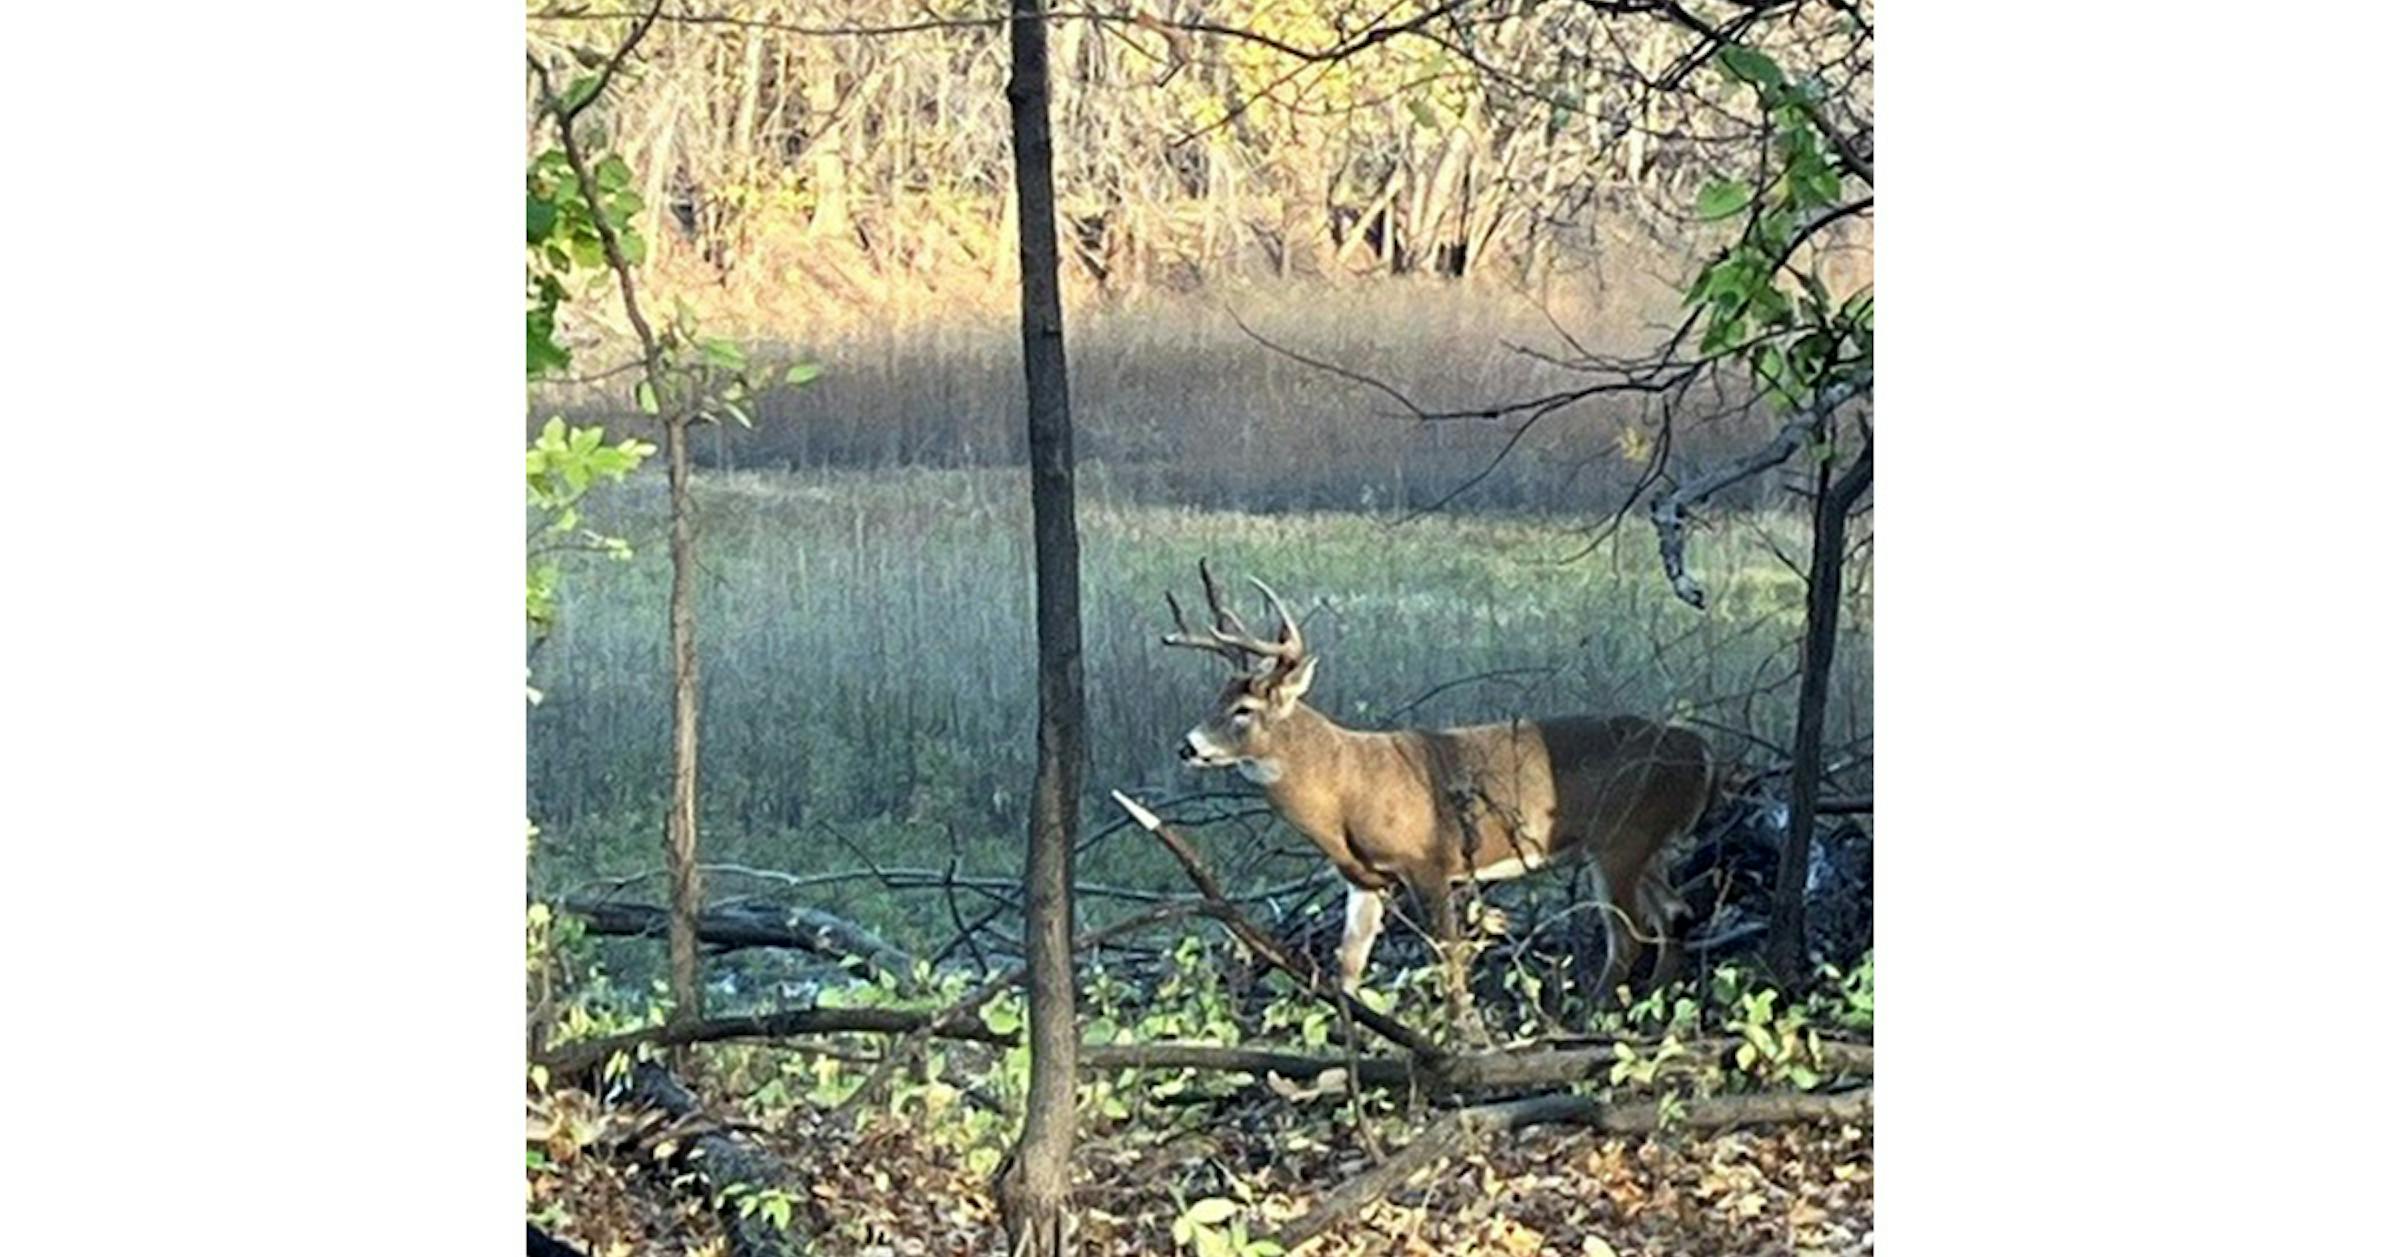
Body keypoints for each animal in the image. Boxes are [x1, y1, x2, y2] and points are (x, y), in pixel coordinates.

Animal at [1156, 560, 1714, 1034]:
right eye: (1216, 699)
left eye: (1244, 710)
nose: (1187, 746)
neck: (1344, 788)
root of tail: (1702, 751)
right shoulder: (1364, 879)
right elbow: (1349, 965)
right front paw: (1348, 1038)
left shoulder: (1430, 859)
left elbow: (1447, 955)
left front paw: (1459, 1033)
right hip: (1648, 842)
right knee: (1675, 914)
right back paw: (1658, 1010)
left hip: (1620, 837)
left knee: (1632, 934)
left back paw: (1592, 1017)